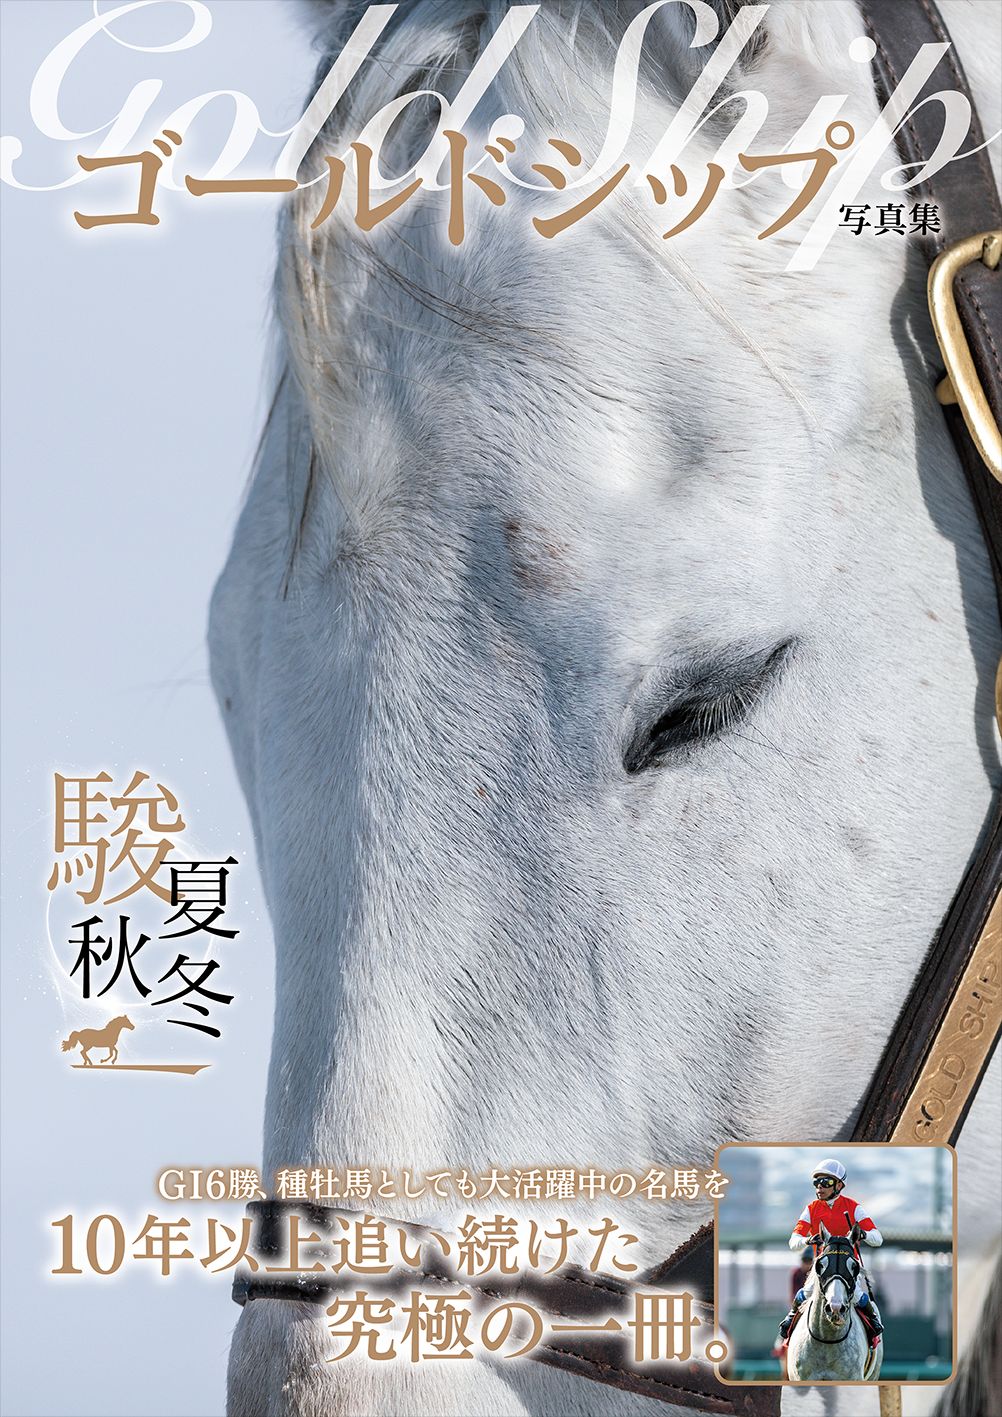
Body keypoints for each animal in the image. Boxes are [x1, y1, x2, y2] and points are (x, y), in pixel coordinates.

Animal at [786, 1226, 881, 1384]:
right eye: (821, 1265)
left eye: (854, 1266)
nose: (835, 1308)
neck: (827, 1339)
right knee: (801, 1294)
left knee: (862, 1298)